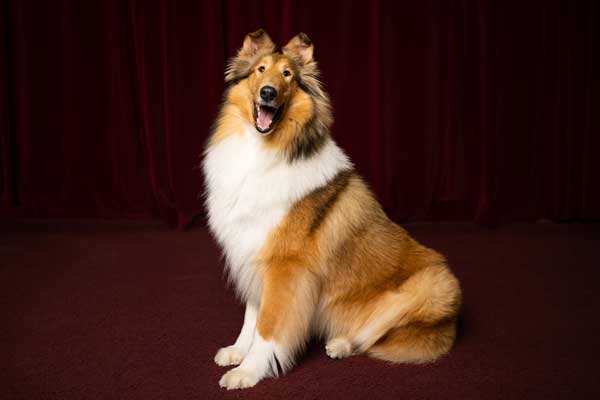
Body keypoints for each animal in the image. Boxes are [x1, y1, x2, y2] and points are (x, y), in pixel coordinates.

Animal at [204, 28, 462, 390]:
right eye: (260, 70)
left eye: (288, 75)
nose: (268, 92)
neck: (264, 150)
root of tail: (451, 326)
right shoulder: (252, 252)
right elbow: (251, 315)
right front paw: (238, 351)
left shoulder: (285, 267)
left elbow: (268, 324)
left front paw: (249, 371)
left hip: (435, 284)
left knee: (373, 335)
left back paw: (341, 343)